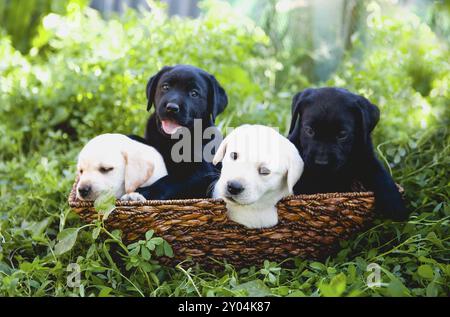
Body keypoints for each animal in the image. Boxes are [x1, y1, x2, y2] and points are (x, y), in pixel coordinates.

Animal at [133, 63, 225, 198]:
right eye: (165, 87)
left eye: (194, 93)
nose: (171, 108)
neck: (172, 141)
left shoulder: (203, 172)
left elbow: (169, 180)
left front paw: (142, 192)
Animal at [288, 86, 408, 220]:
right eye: (309, 130)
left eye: (342, 135)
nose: (321, 163)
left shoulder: (367, 158)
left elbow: (382, 176)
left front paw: (396, 205)